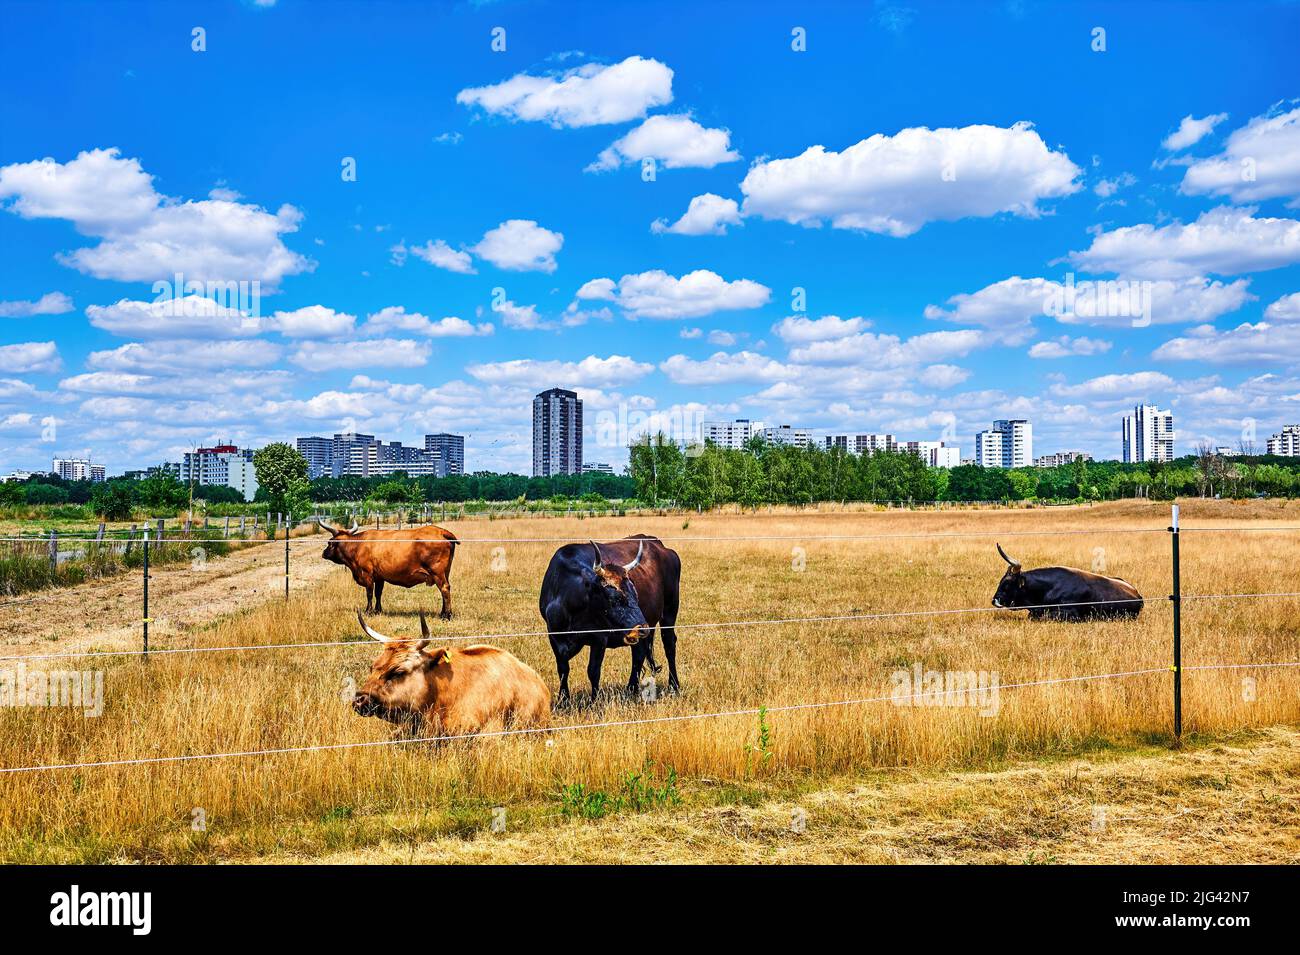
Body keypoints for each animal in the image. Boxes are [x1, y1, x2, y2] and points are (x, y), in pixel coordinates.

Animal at [318, 519, 457, 615]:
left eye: (329, 542)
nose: (323, 553)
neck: (358, 545)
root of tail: (441, 531)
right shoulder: (380, 577)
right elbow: (378, 593)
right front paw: (378, 610)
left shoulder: (367, 574)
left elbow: (369, 593)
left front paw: (368, 611)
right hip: (446, 572)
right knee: (445, 589)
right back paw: (442, 612)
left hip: (437, 572)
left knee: (444, 588)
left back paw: (446, 615)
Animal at [535, 535, 681, 706]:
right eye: (615, 598)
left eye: (636, 595)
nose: (642, 628)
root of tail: (659, 545)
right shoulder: (554, 636)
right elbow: (563, 669)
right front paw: (564, 700)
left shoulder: (600, 638)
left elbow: (593, 670)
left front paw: (594, 701)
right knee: (638, 654)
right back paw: (631, 689)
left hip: (669, 611)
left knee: (669, 645)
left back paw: (674, 685)